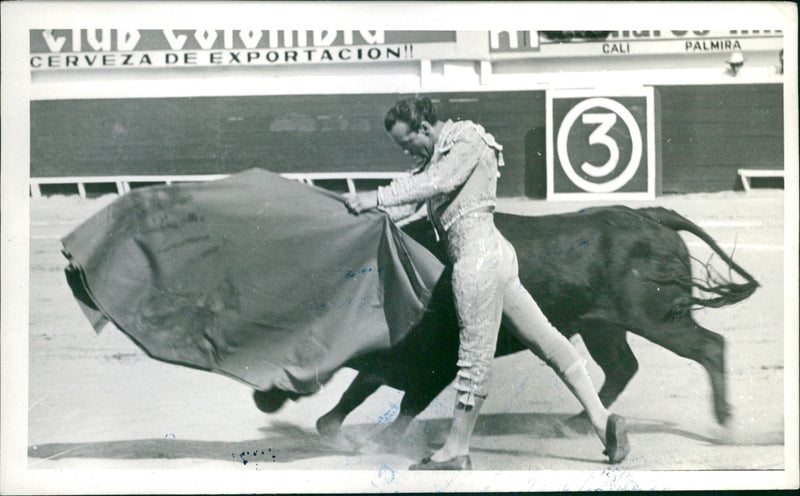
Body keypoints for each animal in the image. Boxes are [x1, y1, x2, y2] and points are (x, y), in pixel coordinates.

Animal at [255, 205, 756, 442]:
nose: (260, 397)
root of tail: (649, 215)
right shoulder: (396, 358)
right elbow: (361, 387)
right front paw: (333, 429)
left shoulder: (438, 361)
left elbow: (407, 403)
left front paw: (383, 442)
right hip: (602, 325)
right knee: (622, 367)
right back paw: (575, 425)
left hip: (657, 317)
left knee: (709, 346)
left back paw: (725, 423)